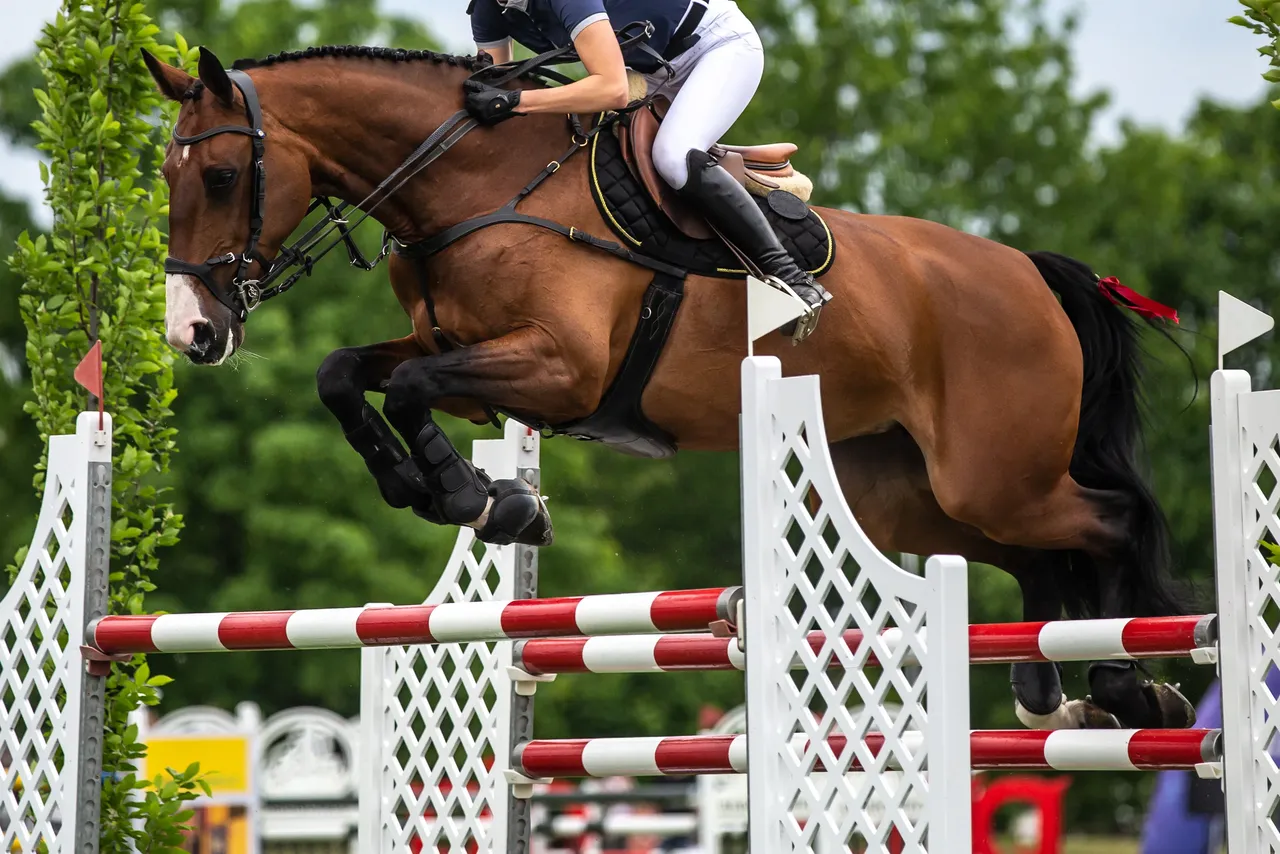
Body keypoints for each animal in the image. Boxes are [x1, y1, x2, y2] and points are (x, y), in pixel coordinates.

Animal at [141, 43, 1196, 733]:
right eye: (165, 175)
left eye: (223, 174)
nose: (193, 332)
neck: (477, 184)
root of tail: (1029, 270)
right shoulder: (469, 367)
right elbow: (348, 377)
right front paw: (456, 492)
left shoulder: (558, 368)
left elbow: (406, 391)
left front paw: (487, 501)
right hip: (912, 493)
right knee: (1033, 551)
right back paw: (1057, 681)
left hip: (994, 472)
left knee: (1108, 522)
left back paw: (1129, 683)